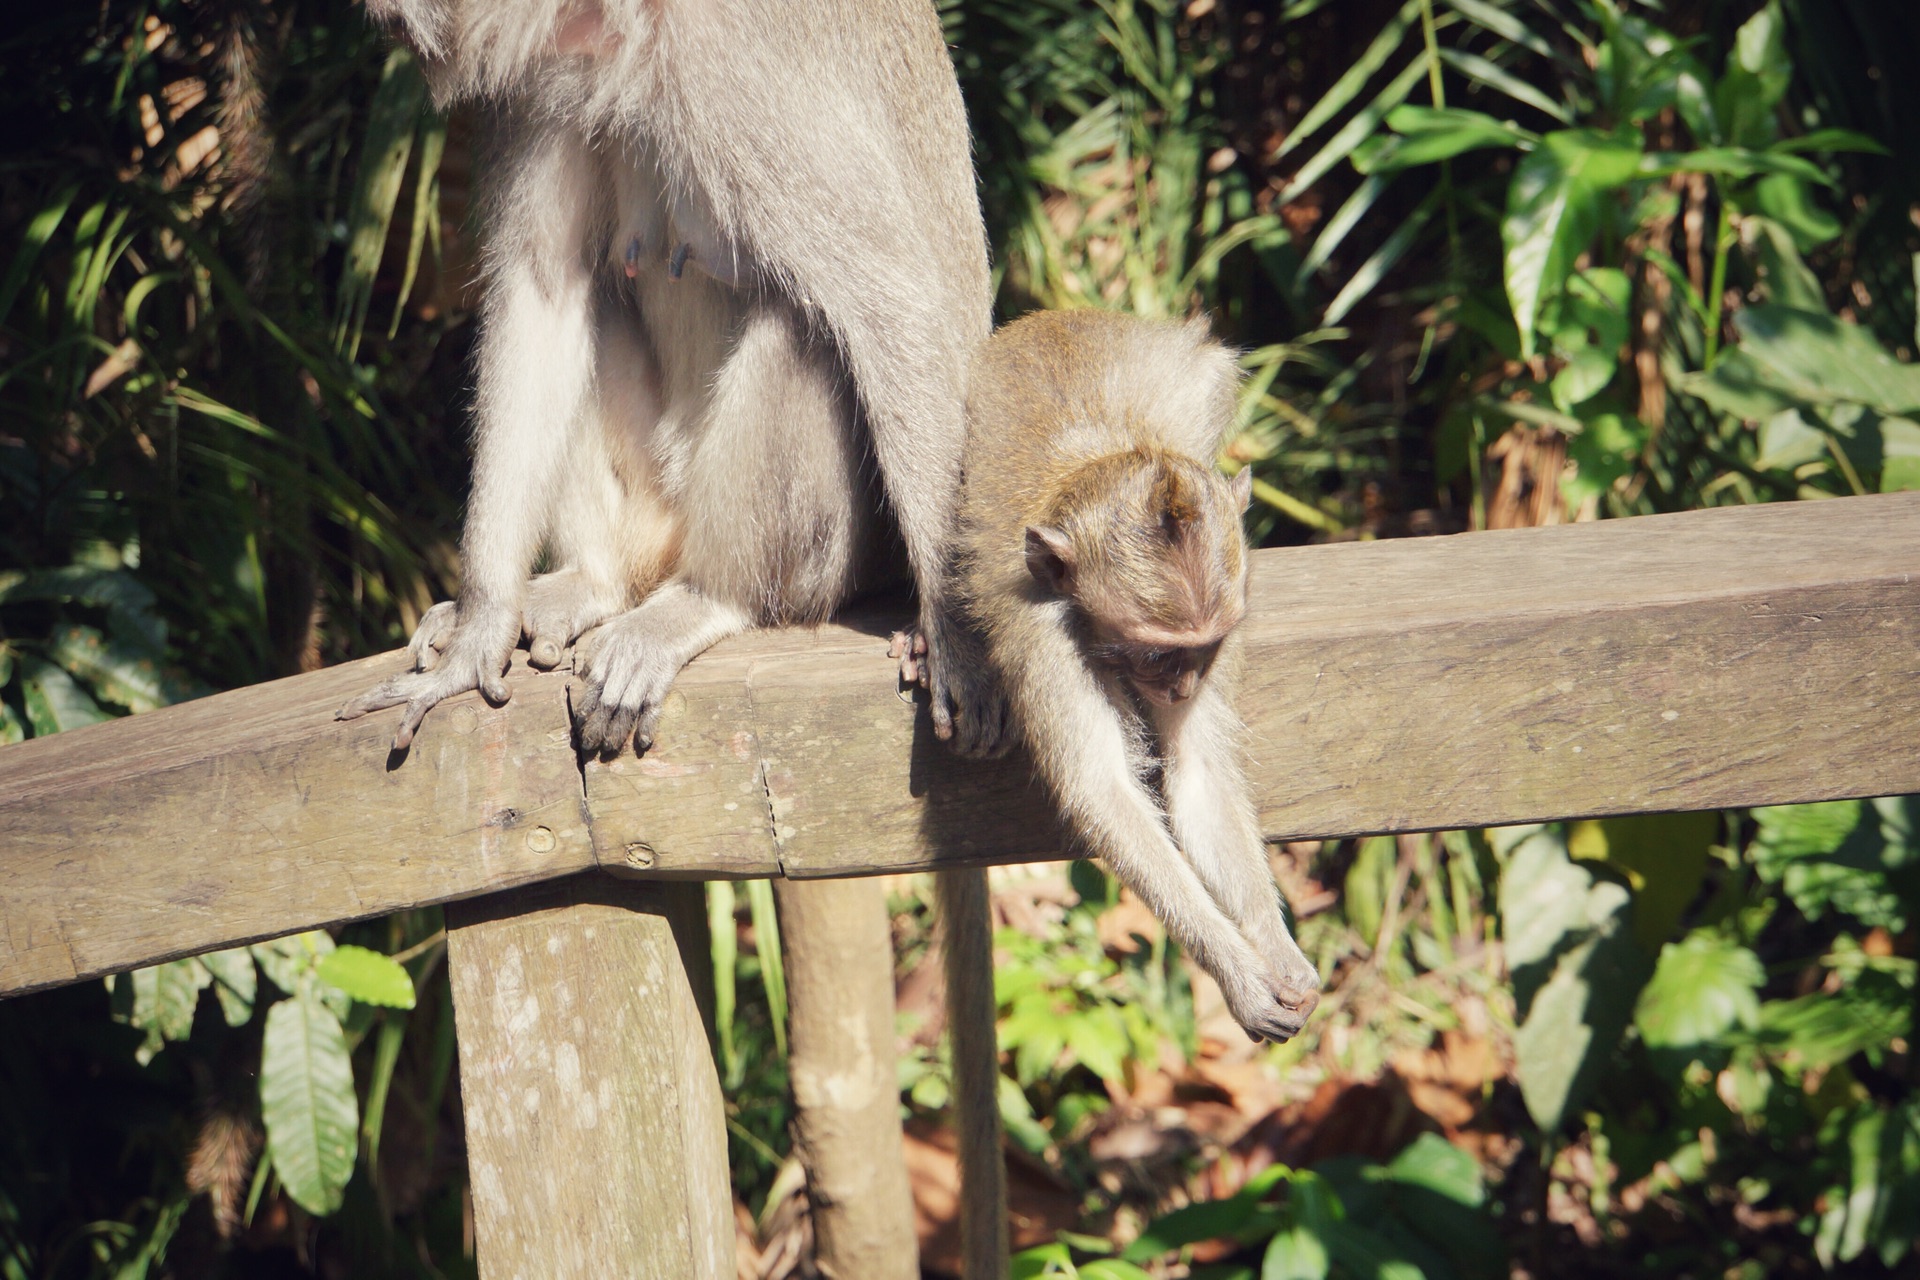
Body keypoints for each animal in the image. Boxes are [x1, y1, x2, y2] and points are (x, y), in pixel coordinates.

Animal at [334, 0, 1006, 759]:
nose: (387, 21)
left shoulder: (736, 68)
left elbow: (892, 300)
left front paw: (959, 644)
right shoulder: (539, 82)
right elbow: (543, 292)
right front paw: (480, 632)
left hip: (831, 555)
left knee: (803, 327)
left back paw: (714, 598)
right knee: (596, 300)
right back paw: (596, 583)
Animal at [936, 307, 1328, 1280]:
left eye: (1204, 651)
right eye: (1158, 652)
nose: (1180, 687)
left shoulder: (1231, 598)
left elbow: (1198, 777)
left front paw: (1273, 948)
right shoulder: (1038, 623)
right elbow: (1105, 793)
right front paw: (1238, 970)